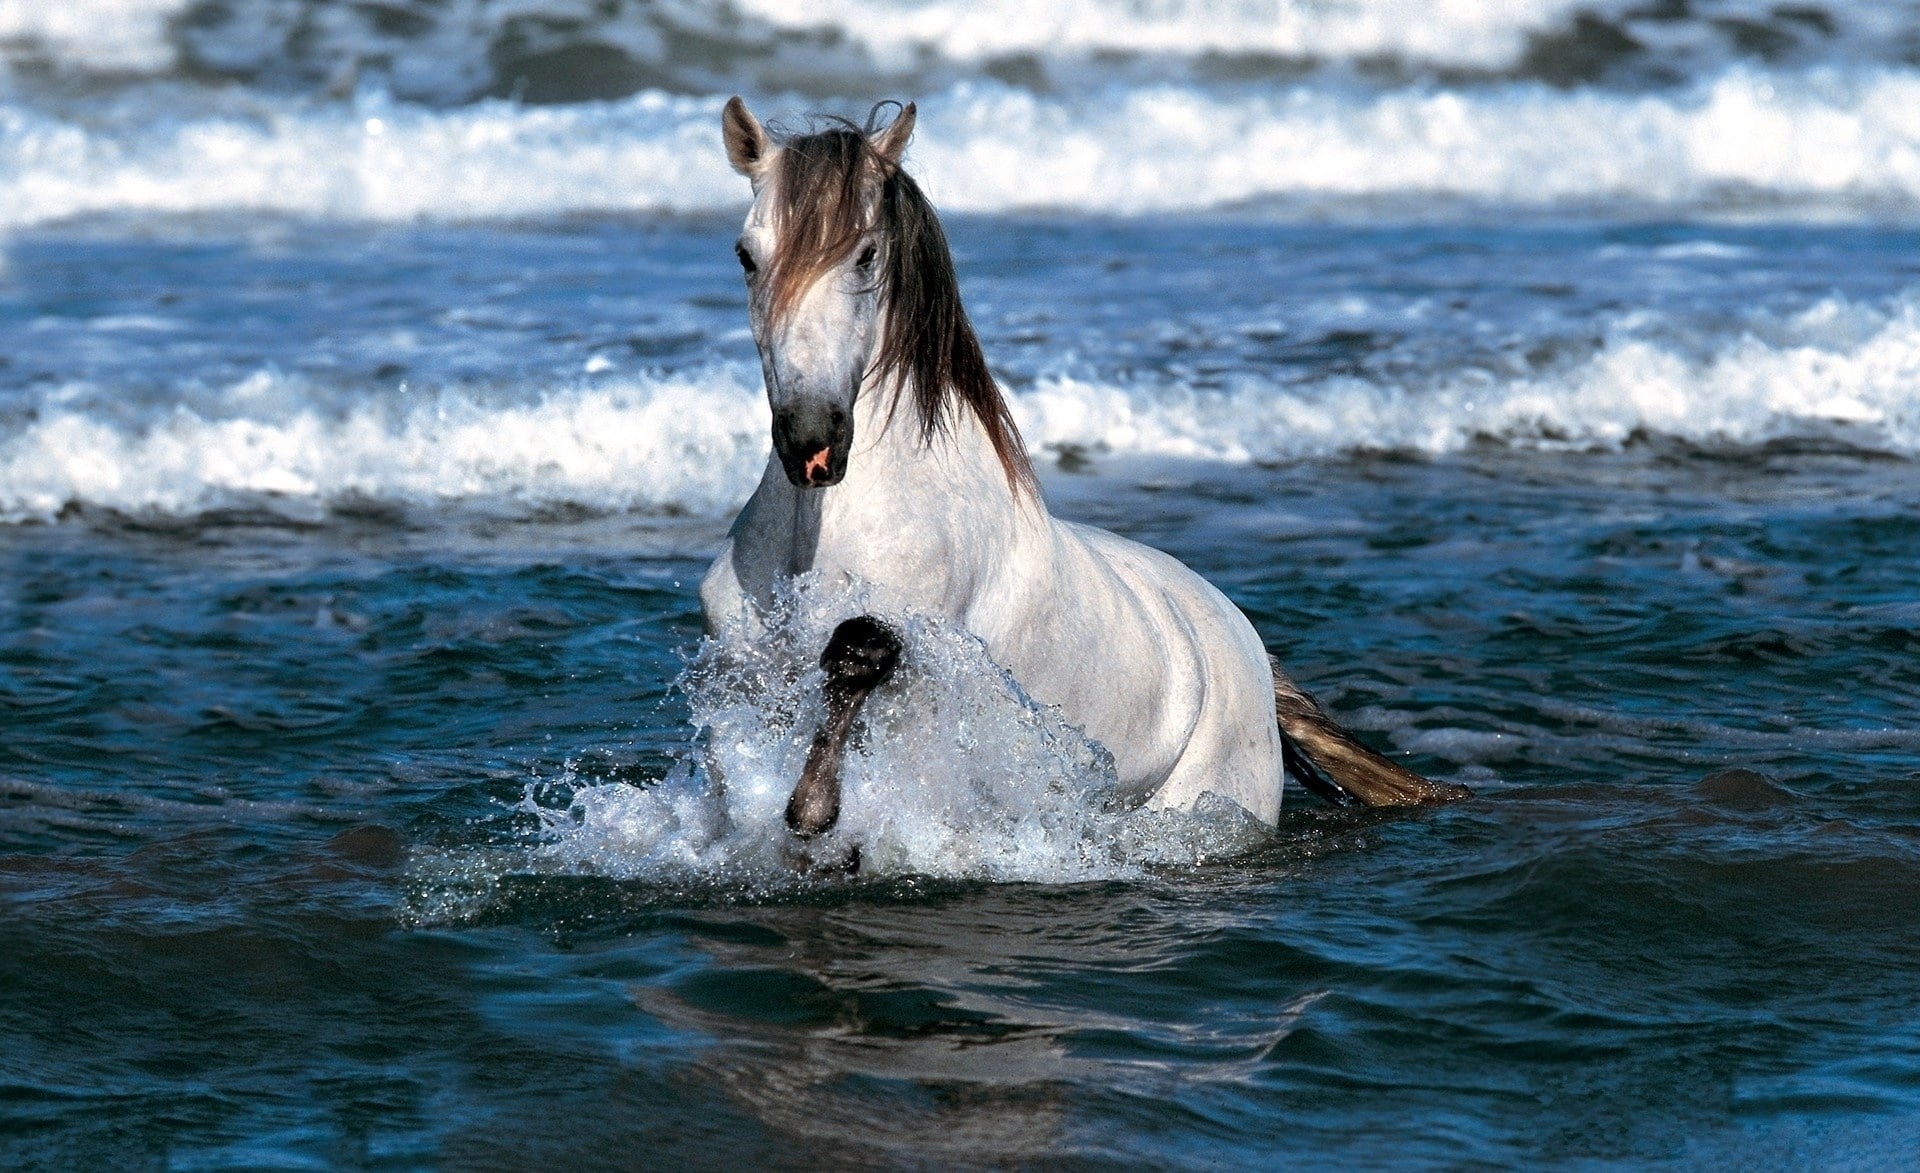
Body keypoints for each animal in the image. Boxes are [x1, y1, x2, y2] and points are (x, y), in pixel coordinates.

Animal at [699, 98, 1468, 843]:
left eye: (866, 255)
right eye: (745, 255)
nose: (812, 441)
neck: (821, 533)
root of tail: (1249, 647)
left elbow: (859, 653)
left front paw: (814, 810)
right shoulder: (744, 669)